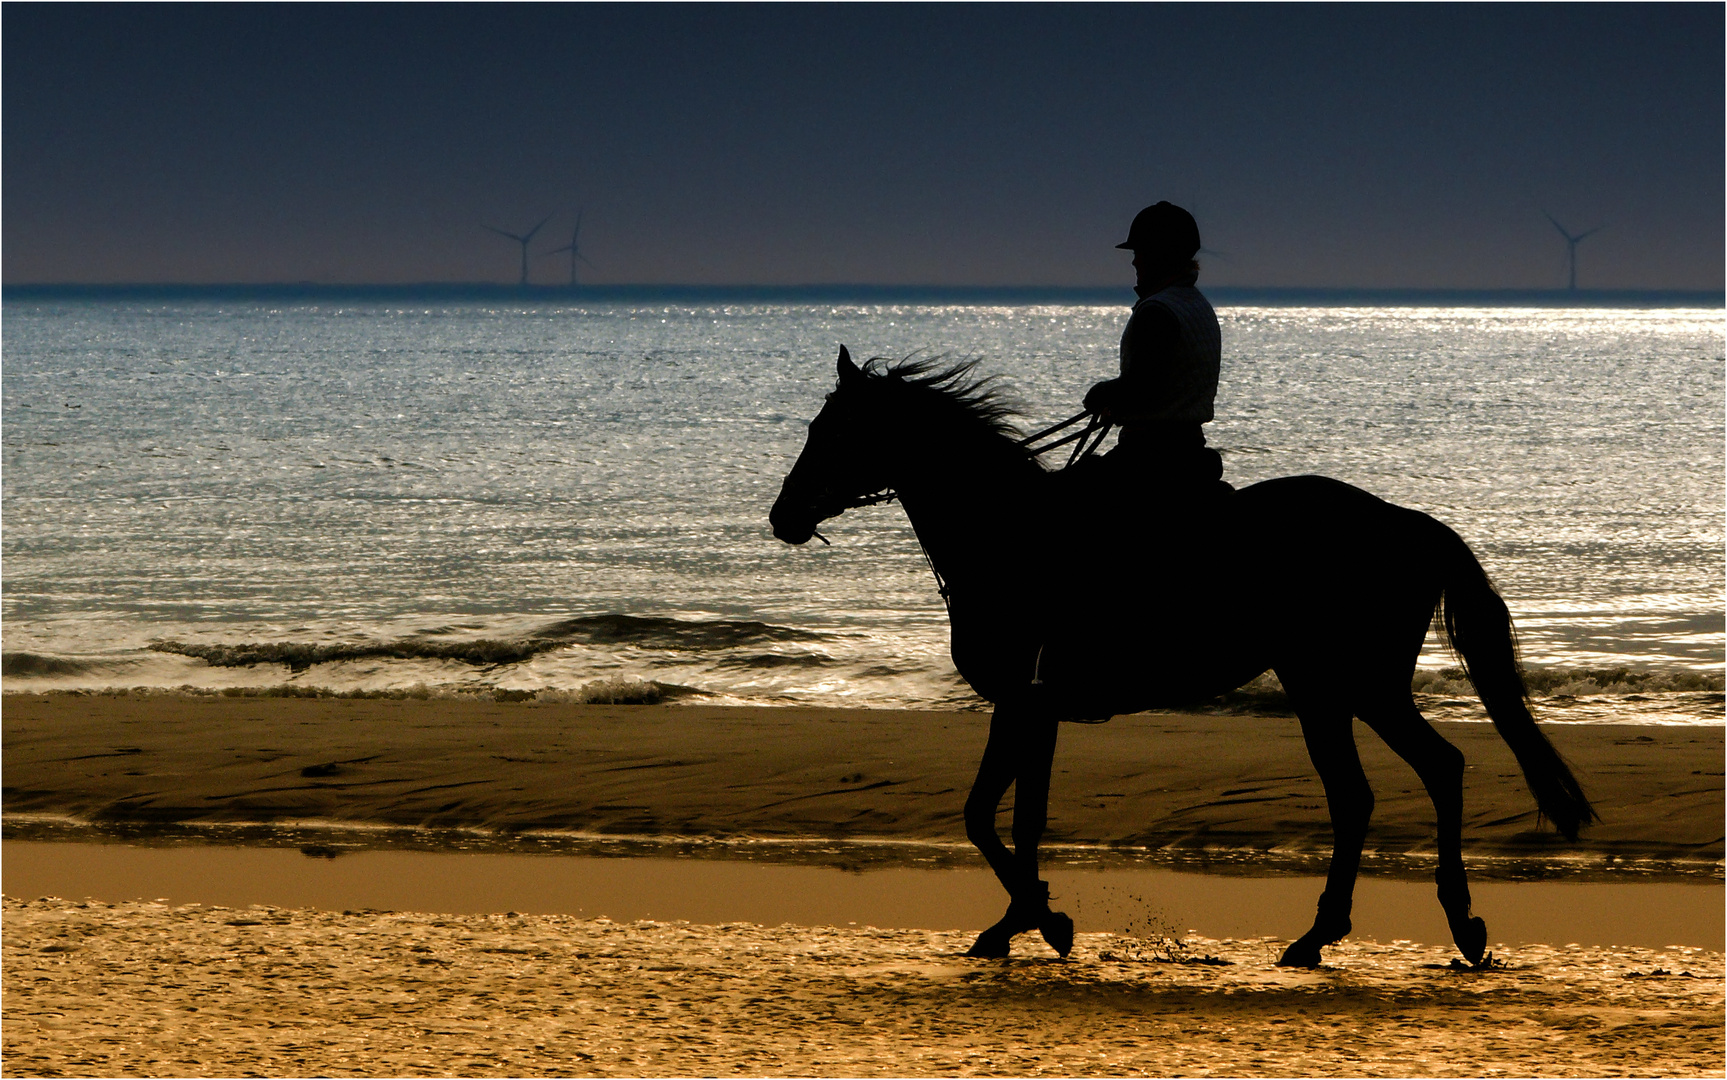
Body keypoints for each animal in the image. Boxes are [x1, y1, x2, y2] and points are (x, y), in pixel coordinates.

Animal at [770, 349, 1588, 967]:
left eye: (833, 430)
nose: (783, 516)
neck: (1007, 533)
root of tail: (1406, 521)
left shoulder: (1022, 699)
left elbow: (988, 815)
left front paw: (1042, 922)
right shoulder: (1034, 706)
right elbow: (1015, 816)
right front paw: (1024, 922)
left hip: (1350, 683)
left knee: (1418, 775)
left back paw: (1434, 925)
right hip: (1332, 686)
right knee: (1377, 788)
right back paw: (1343, 933)